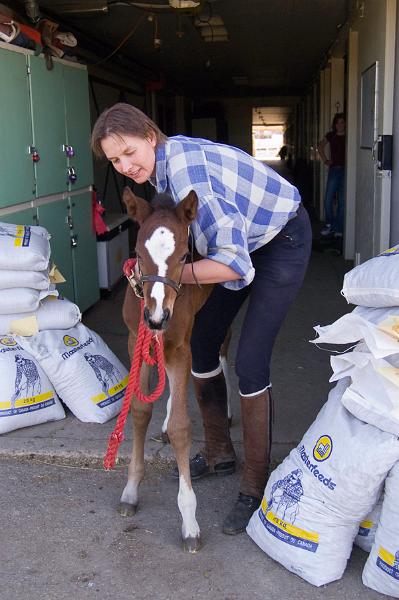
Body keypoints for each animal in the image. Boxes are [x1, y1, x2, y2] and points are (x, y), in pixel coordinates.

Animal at [120, 188, 214, 552]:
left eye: (184, 255)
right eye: (136, 252)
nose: (158, 317)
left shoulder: (180, 348)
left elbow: (181, 428)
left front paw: (189, 521)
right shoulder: (137, 340)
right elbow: (139, 409)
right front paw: (131, 491)